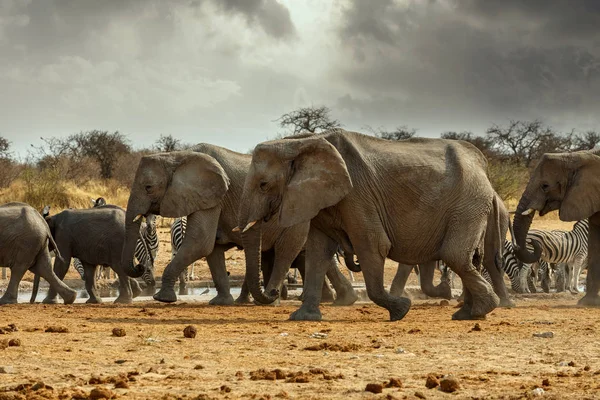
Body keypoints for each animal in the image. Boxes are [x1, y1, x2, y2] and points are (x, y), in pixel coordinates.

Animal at [119, 147, 358, 306]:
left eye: (148, 187)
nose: (140, 268)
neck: (178, 156)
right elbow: (212, 248)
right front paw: (221, 302)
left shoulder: (214, 194)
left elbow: (200, 242)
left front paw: (162, 298)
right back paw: (341, 299)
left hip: (300, 211)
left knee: (287, 252)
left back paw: (277, 299)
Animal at [237, 130, 504, 320]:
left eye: (263, 184)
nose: (274, 292)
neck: (300, 143)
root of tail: (482, 163)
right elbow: (317, 252)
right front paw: (302, 317)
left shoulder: (358, 194)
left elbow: (372, 245)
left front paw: (401, 310)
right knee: (471, 258)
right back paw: (467, 314)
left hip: (468, 203)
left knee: (455, 255)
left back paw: (478, 311)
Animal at [510, 148, 600, 306]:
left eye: (545, 186)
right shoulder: (579, 256)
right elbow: (576, 271)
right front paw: (578, 292)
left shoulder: (573, 257)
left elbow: (572, 271)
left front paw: (574, 291)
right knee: (525, 271)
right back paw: (525, 290)